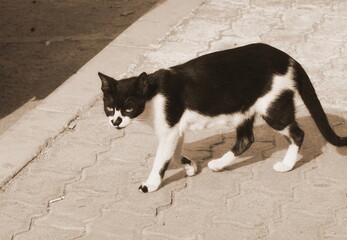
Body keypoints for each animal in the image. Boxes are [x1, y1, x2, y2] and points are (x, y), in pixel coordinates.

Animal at [98, 43, 347, 193]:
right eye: (109, 108)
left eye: (129, 108)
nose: (116, 122)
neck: (152, 96)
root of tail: (289, 58)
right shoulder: (175, 129)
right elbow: (175, 153)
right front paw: (190, 166)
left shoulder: (169, 130)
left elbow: (161, 159)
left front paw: (151, 183)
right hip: (244, 110)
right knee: (246, 139)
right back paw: (218, 164)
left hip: (273, 108)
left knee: (297, 133)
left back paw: (286, 164)